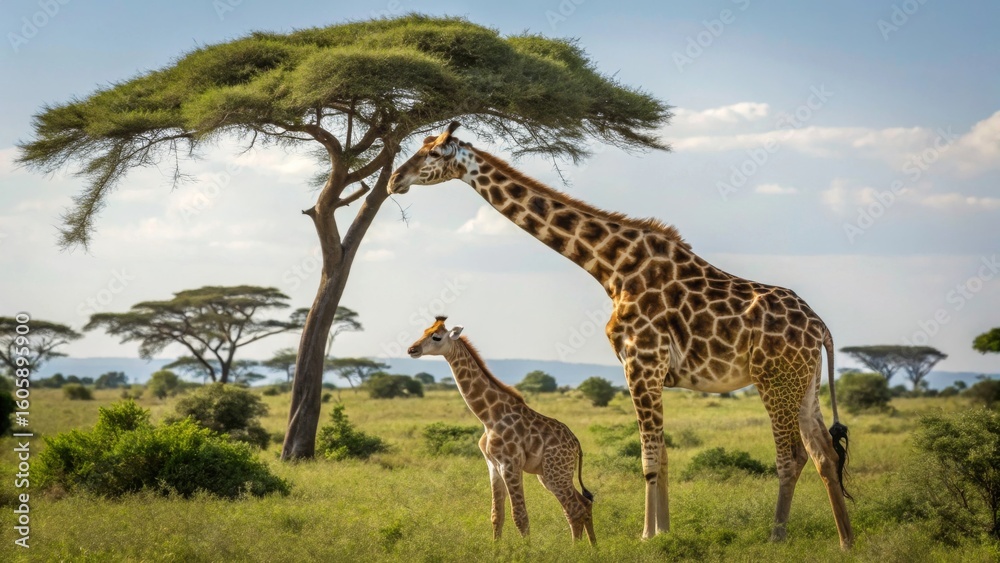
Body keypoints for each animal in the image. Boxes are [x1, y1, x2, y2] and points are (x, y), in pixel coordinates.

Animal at [408, 317, 596, 544]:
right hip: (550, 474)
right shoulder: (492, 465)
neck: (488, 417)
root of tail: (576, 443)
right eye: (424, 331)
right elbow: (497, 516)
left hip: (555, 472)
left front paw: (527, 550)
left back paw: (576, 549)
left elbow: (520, 516)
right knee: (583, 504)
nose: (412, 349)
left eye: (436, 337)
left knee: (575, 509)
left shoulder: (510, 464)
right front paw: (495, 549)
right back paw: (593, 547)